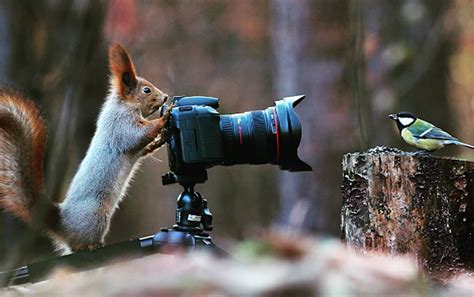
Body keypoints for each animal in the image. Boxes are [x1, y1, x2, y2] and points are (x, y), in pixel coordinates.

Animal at [0, 43, 174, 252]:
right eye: (146, 90)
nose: (165, 97)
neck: (124, 104)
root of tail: (63, 225)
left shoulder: (133, 144)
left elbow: (143, 149)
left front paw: (161, 138)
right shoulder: (120, 125)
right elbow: (137, 135)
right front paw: (164, 118)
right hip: (97, 216)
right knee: (78, 245)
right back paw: (91, 245)